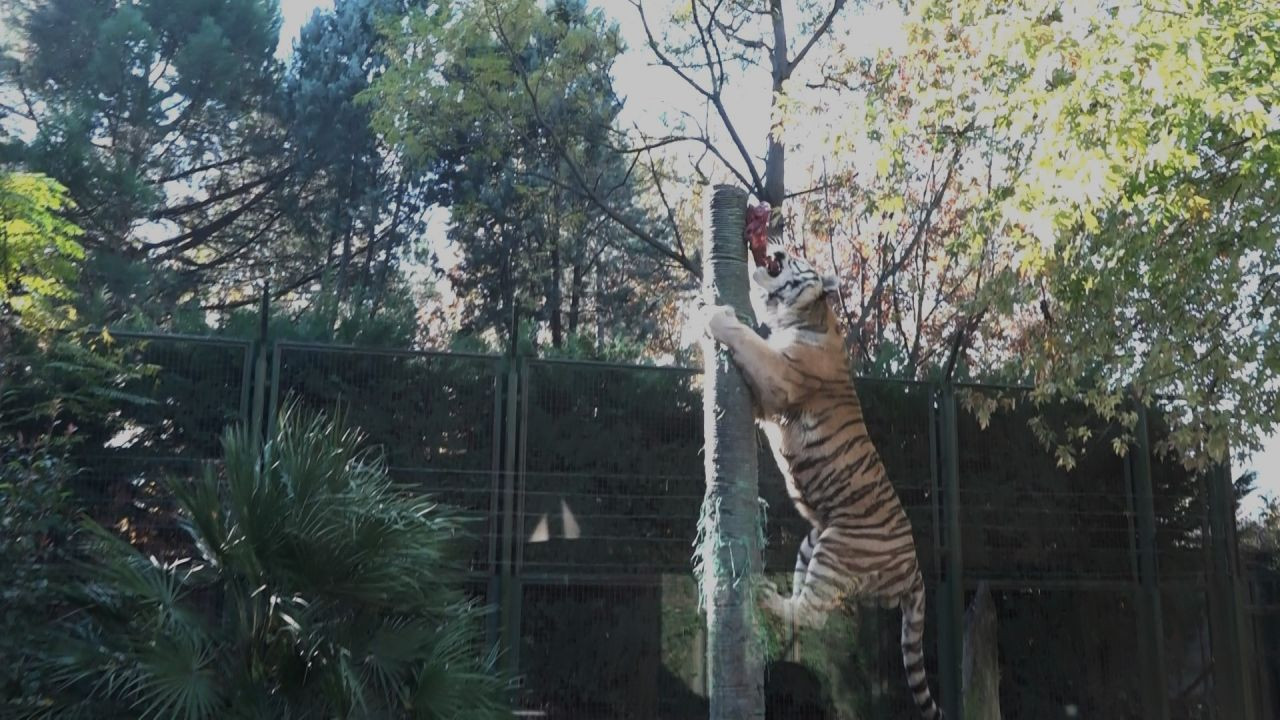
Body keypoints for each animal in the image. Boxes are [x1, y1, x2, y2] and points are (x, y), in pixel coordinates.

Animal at [696, 243, 947, 712]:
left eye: (796, 258)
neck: (804, 315)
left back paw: (763, 596)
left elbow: (748, 340)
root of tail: (915, 571)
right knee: (809, 613)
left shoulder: (777, 379)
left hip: (838, 549)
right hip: (812, 542)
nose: (776, 247)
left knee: (813, 614)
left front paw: (716, 314)